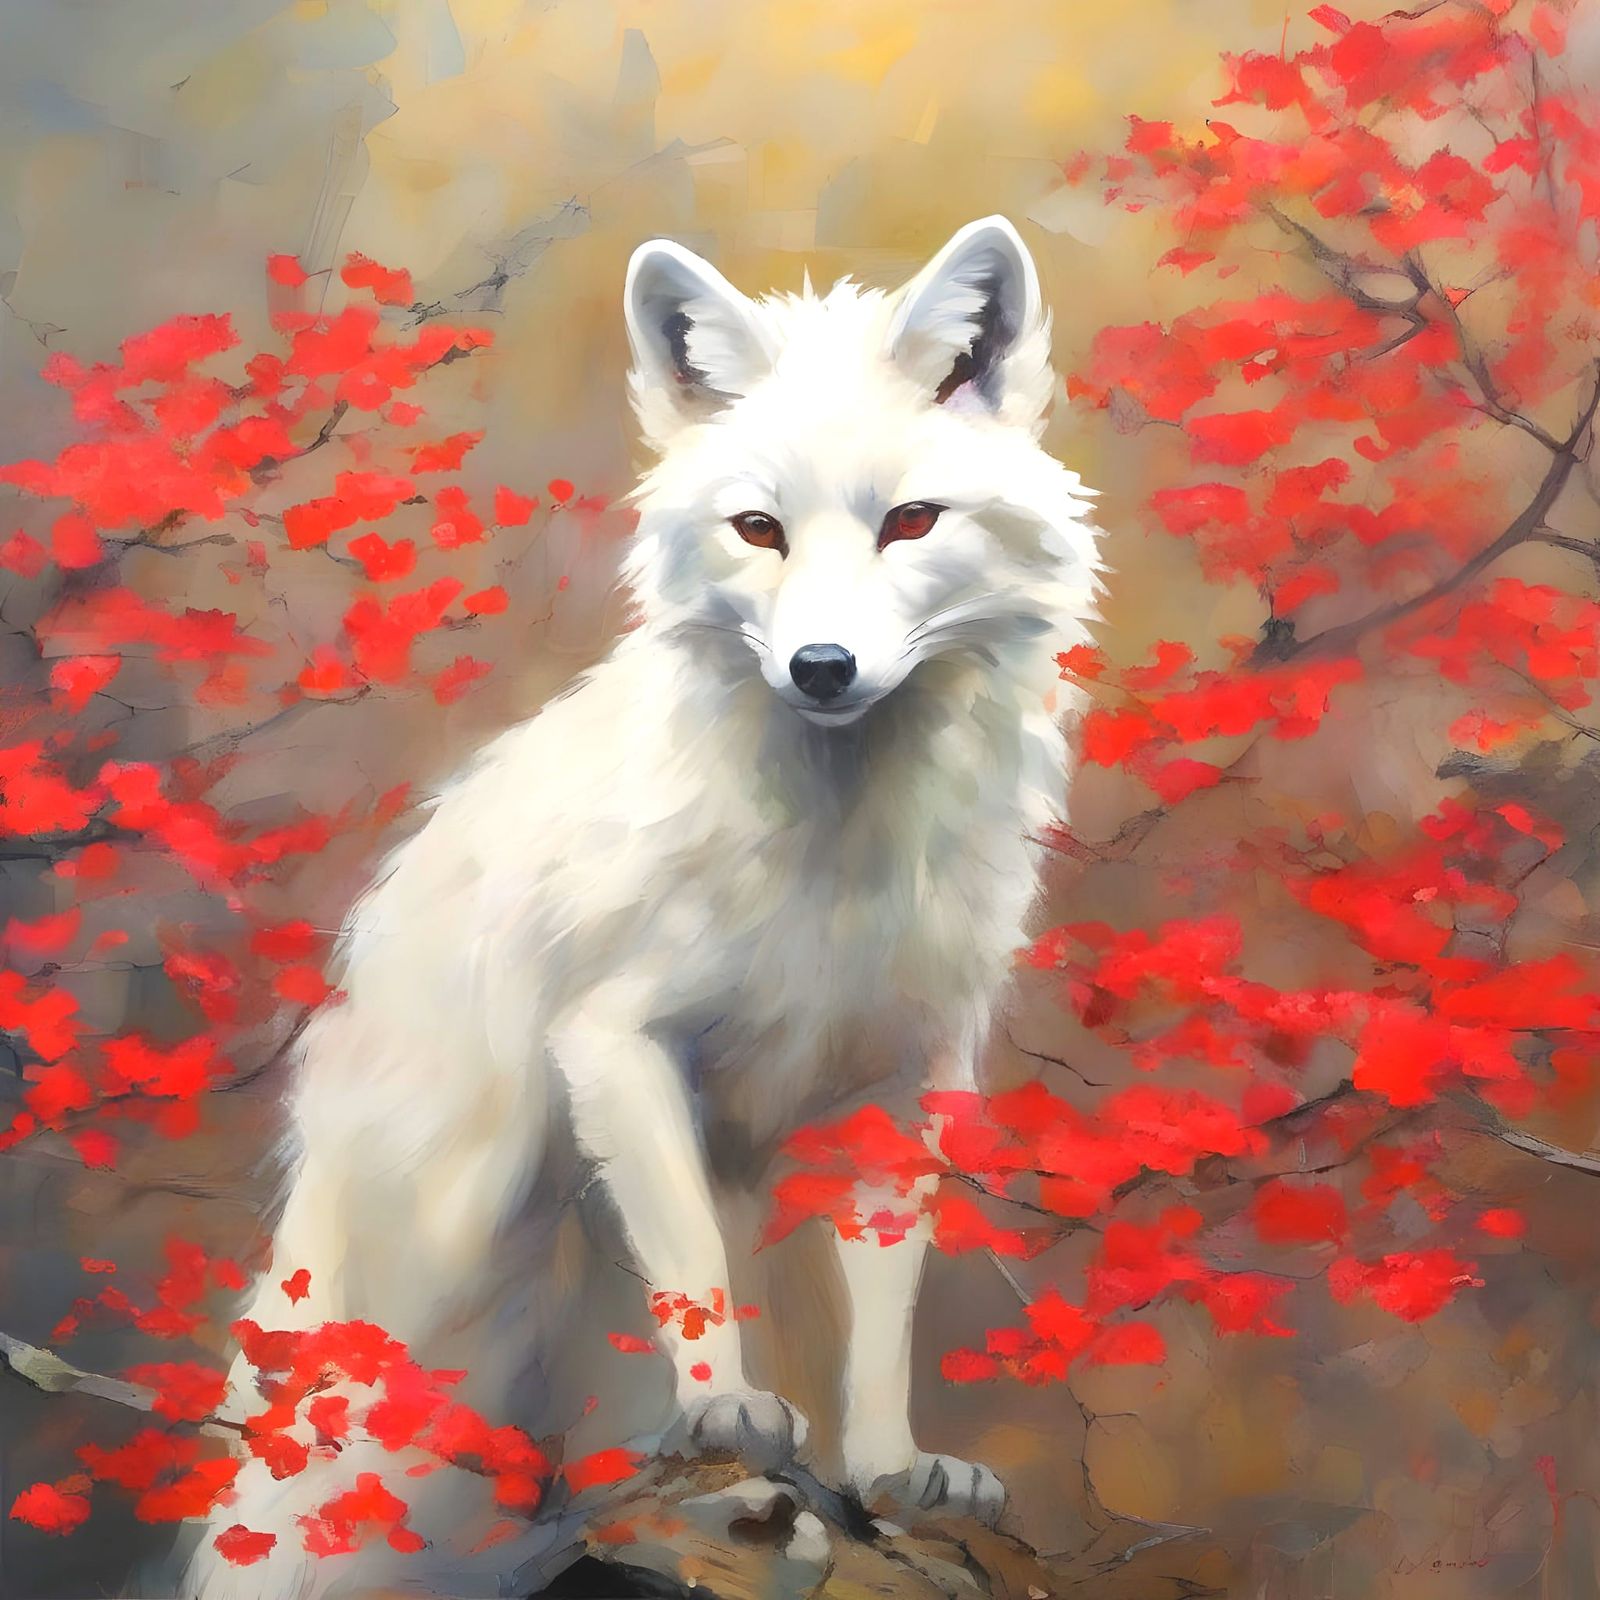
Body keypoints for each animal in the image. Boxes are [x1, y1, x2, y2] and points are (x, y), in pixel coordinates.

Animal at [182, 215, 1102, 1599]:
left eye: (910, 522)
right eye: (759, 528)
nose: (820, 667)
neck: (837, 850)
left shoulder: (903, 1087)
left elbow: (882, 1321)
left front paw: (892, 1470)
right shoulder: (616, 1040)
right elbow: (693, 1275)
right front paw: (728, 1408)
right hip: (463, 1261)